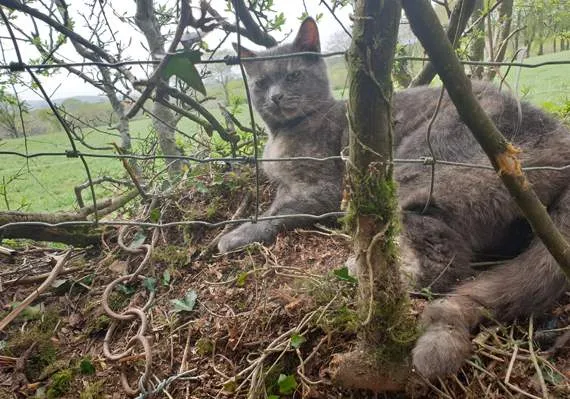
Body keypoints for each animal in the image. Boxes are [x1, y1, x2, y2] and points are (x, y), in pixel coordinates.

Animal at [214, 18, 568, 382]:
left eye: (293, 75)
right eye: (261, 83)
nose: (275, 96)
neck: (283, 135)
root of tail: (560, 135)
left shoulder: (325, 189)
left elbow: (277, 213)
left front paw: (233, 235)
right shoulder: (287, 185)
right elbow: (275, 201)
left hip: (414, 168)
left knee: (446, 263)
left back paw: (362, 273)